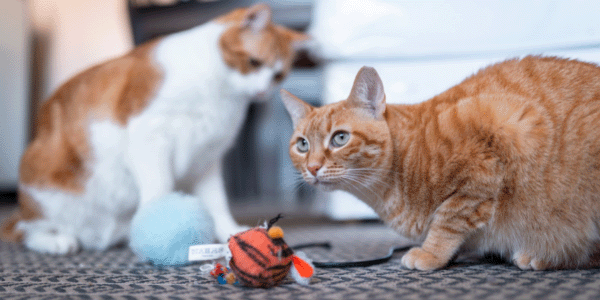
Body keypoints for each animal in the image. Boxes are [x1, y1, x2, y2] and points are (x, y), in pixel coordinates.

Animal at [0, 3, 310, 254]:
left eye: (278, 75)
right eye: (254, 63)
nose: (262, 92)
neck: (221, 92)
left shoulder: (207, 157)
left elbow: (217, 201)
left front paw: (229, 231)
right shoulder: (150, 137)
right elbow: (161, 187)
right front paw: (160, 231)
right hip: (42, 187)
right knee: (23, 230)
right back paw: (56, 240)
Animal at [284, 56, 600, 270]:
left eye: (340, 138)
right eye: (302, 145)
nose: (312, 167)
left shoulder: (490, 150)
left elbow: (448, 219)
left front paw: (431, 253)